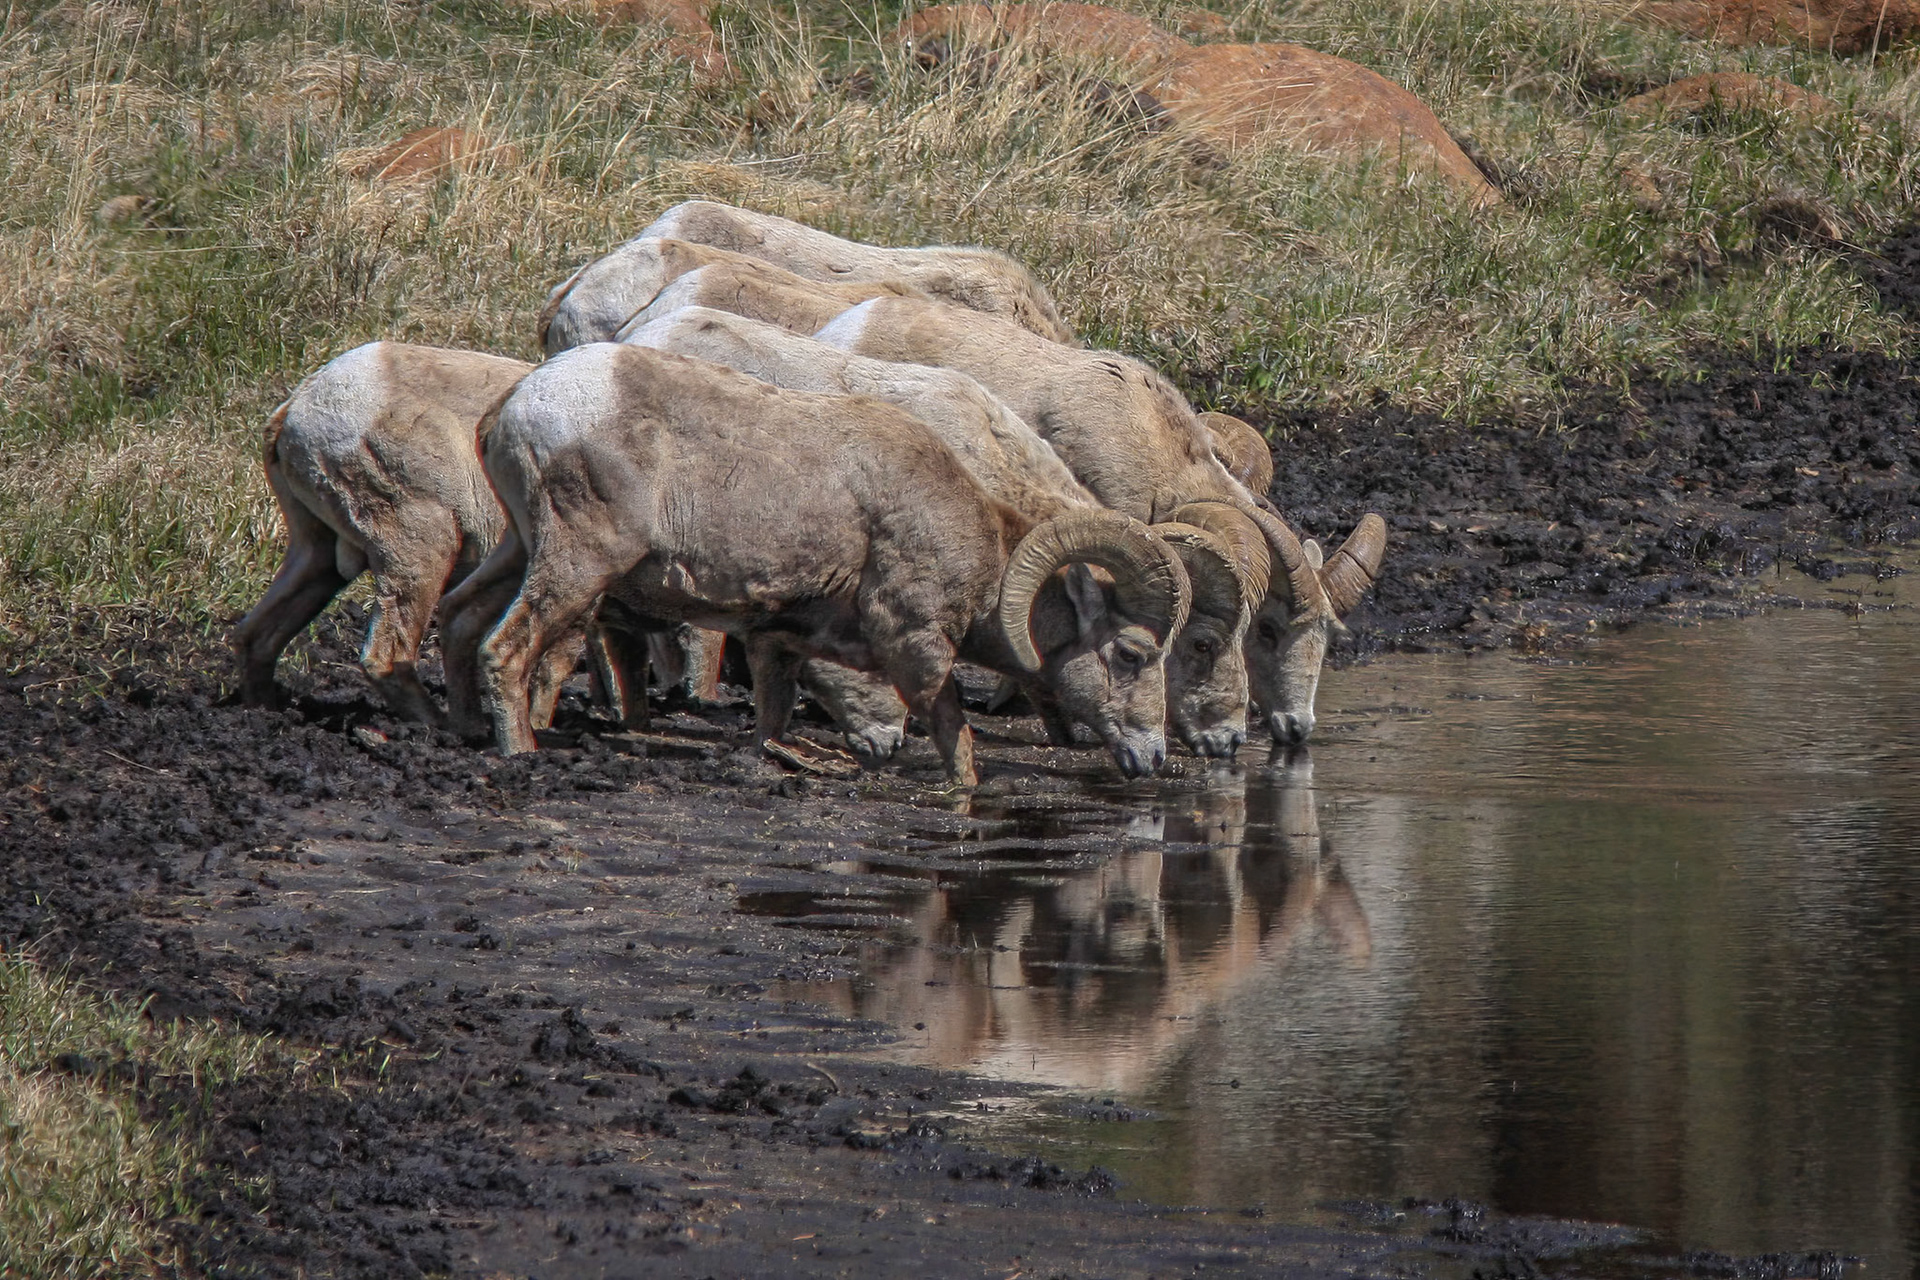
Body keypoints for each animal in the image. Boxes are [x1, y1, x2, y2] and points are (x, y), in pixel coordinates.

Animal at [435, 342, 1194, 785]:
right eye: (1131, 654)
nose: (1154, 758)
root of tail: (518, 405)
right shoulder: (915, 642)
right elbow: (954, 734)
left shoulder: (777, 639)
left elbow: (774, 714)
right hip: (578, 563)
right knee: (507, 647)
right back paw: (520, 751)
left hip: (518, 548)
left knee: (459, 619)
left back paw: (467, 729)